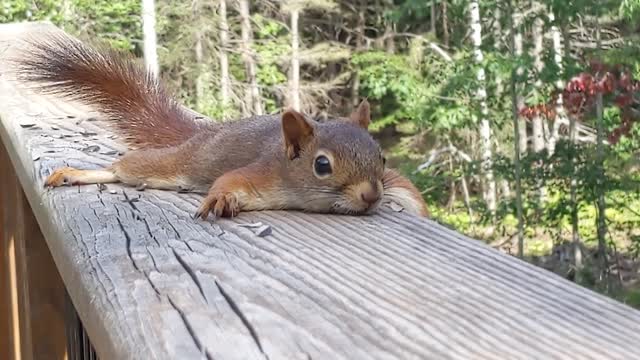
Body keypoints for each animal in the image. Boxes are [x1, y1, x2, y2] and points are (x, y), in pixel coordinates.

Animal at [11, 31, 430, 219]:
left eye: (383, 159)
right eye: (322, 165)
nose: (371, 195)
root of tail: (204, 134)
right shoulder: (261, 174)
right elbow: (231, 180)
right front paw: (221, 199)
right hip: (174, 163)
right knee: (125, 167)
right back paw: (76, 173)